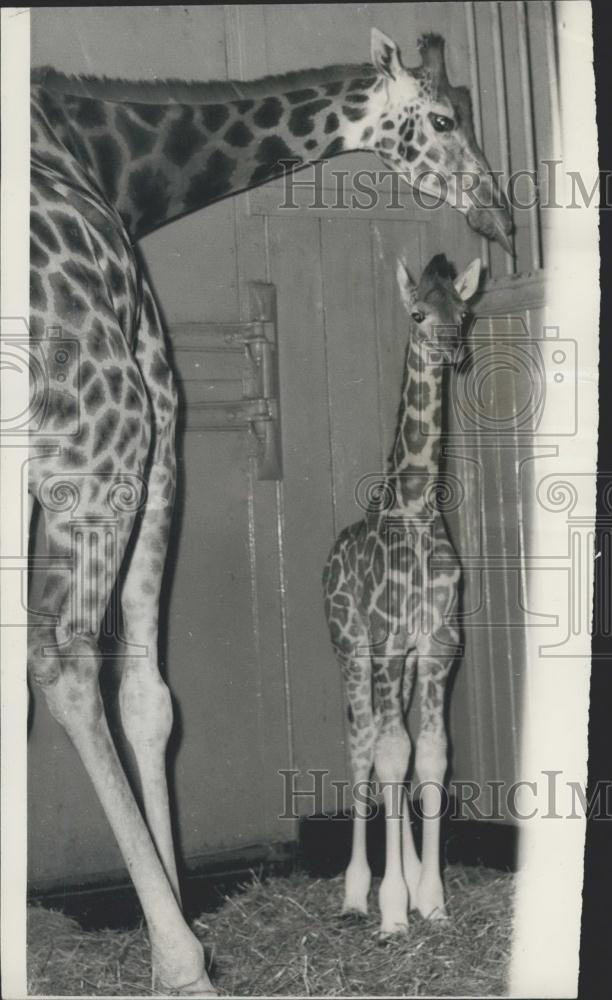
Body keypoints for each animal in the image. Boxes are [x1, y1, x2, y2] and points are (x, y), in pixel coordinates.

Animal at [28, 27, 510, 995]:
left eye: (470, 112)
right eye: (444, 118)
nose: (500, 216)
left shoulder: (436, 640)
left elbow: (425, 755)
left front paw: (425, 901)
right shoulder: (159, 422)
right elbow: (152, 696)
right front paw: (383, 907)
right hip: (113, 443)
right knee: (76, 660)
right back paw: (196, 951)